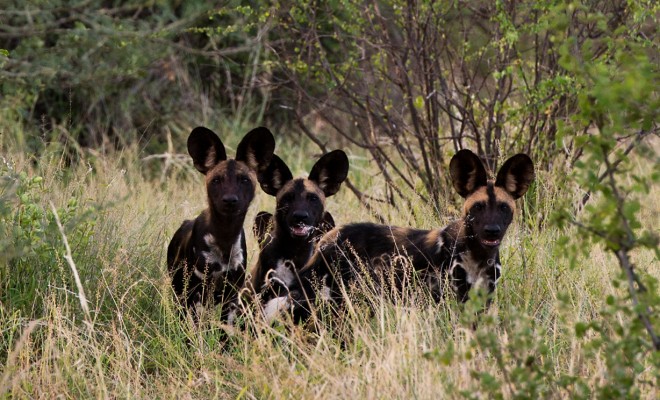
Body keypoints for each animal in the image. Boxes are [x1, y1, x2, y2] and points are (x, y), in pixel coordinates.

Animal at [169, 126, 278, 320]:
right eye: (216, 180)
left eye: (244, 180)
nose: (230, 200)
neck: (225, 237)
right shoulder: (197, 290)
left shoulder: (232, 293)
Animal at [288, 148, 536, 320]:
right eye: (478, 207)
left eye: (503, 208)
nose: (492, 230)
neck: (478, 256)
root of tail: (329, 237)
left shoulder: (482, 300)